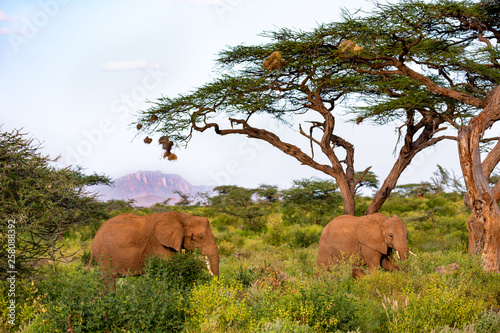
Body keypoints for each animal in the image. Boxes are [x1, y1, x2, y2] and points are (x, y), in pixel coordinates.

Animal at [89, 211, 218, 286]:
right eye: (200, 237)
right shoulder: (159, 243)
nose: (214, 279)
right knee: (108, 281)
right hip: (104, 254)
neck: (183, 216)